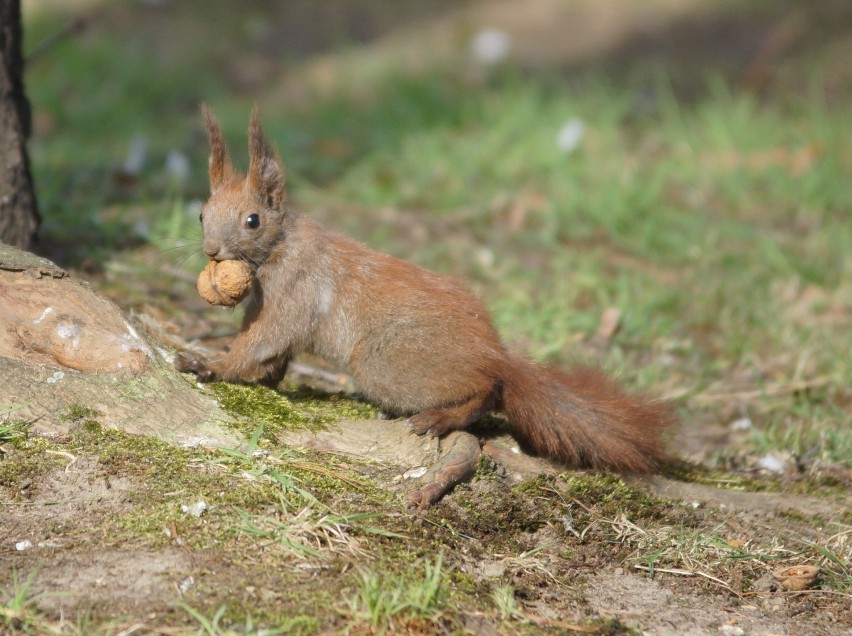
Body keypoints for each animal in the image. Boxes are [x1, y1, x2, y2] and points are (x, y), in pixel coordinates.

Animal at [176, 105, 676, 472]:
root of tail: (496, 355)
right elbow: (272, 356)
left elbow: (260, 342)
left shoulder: (293, 293)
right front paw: (260, 377)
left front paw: (209, 365)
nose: (212, 250)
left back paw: (439, 418)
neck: (279, 248)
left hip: (386, 363)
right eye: (201, 213)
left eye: (253, 220)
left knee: (487, 390)